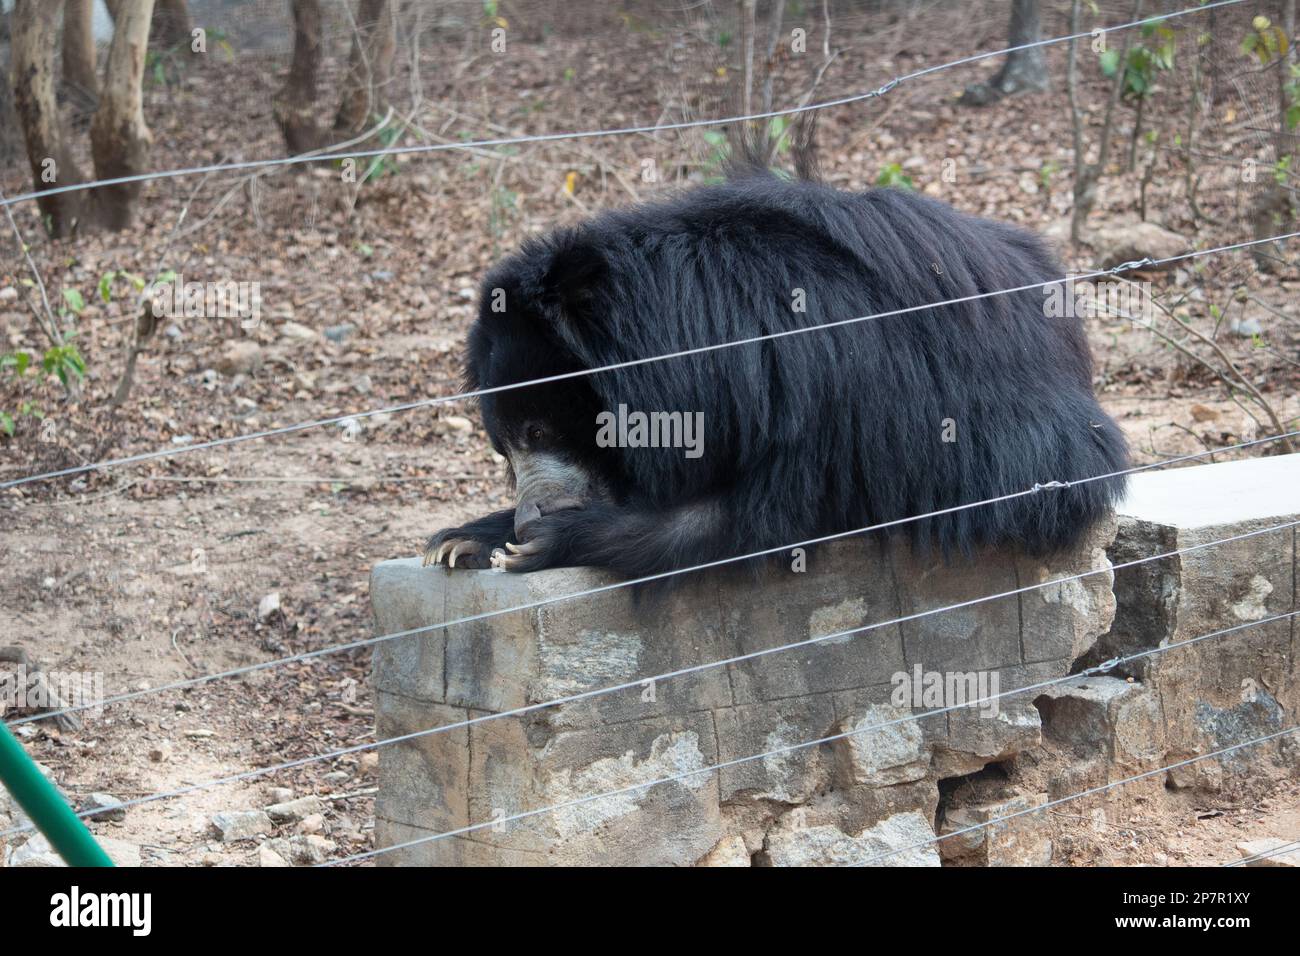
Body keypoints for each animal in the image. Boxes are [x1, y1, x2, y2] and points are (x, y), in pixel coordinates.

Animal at [428, 162, 1128, 574]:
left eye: (540, 430)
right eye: (503, 449)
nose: (528, 517)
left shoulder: (827, 391)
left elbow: (757, 520)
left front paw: (551, 539)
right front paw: (465, 539)